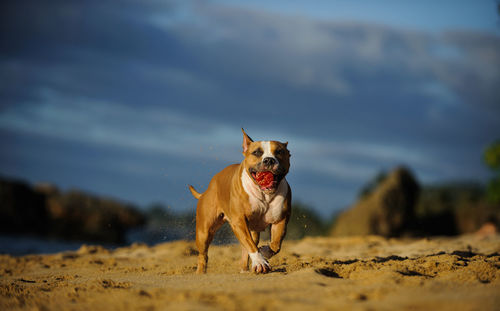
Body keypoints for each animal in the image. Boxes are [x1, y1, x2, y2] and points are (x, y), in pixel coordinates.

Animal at [188, 128, 292, 274]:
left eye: (279, 151)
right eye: (257, 152)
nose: (269, 160)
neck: (264, 195)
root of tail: (208, 188)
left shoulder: (280, 220)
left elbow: (276, 243)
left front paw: (265, 252)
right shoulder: (239, 221)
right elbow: (250, 245)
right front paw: (260, 262)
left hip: (253, 230)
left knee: (247, 248)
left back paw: (244, 269)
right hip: (204, 231)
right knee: (203, 254)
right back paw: (201, 272)